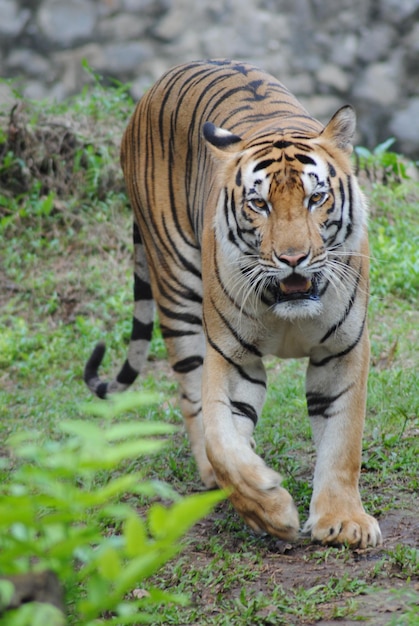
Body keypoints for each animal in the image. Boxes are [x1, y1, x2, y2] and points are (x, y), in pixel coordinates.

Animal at [86, 58, 384, 544]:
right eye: (259, 204)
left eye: (316, 198)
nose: (293, 258)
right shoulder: (231, 355)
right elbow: (221, 439)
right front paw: (268, 508)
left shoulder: (344, 348)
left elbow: (343, 439)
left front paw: (344, 521)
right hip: (176, 287)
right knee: (192, 395)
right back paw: (214, 477)